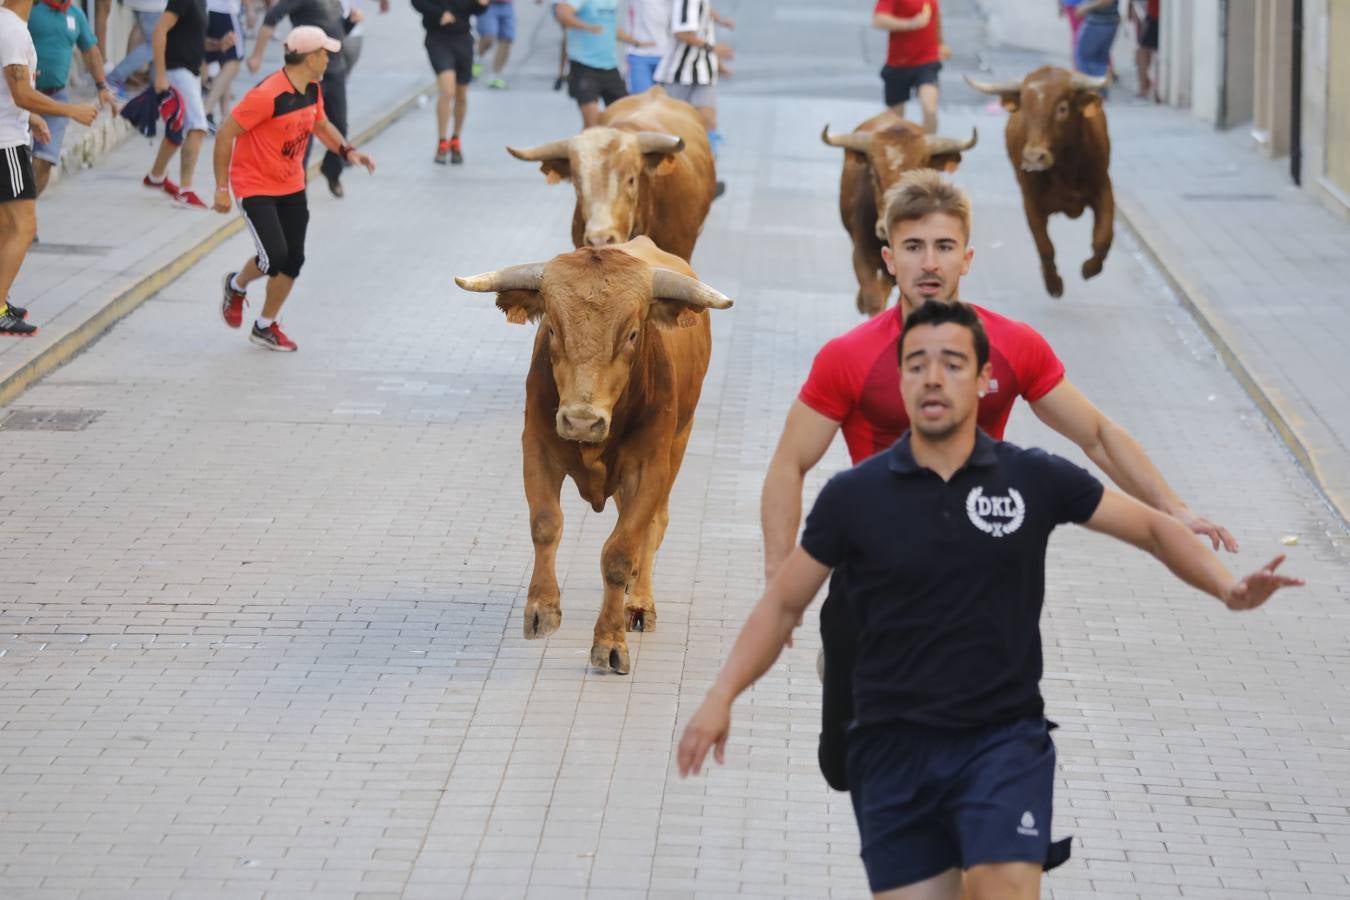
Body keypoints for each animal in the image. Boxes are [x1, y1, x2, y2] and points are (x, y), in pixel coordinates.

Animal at [453, 236, 734, 671]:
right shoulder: (537, 448)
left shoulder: (649, 468)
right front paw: (542, 609)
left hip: (678, 444)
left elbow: (620, 552)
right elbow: (546, 524)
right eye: (553, 327)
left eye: (633, 334)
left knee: (653, 525)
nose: (582, 421)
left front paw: (611, 641)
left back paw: (639, 602)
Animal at [972, 67, 1117, 299]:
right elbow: (1045, 246)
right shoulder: (1031, 201)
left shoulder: (1103, 188)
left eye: (1062, 108)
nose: (1034, 157)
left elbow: (1103, 237)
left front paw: (1089, 269)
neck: (1065, 168)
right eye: (1025, 109)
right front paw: (1054, 285)